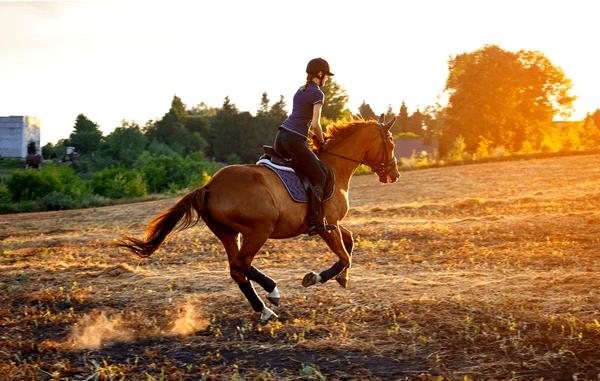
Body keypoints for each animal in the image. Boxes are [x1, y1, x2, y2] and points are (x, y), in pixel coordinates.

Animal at [116, 115, 398, 320]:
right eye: (392, 143)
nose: (394, 175)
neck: (335, 168)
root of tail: (208, 187)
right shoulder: (327, 227)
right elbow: (345, 256)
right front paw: (315, 277)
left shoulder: (332, 225)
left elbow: (350, 244)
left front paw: (342, 277)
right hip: (258, 230)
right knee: (241, 264)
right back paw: (272, 292)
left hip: (229, 233)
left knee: (237, 269)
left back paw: (264, 308)